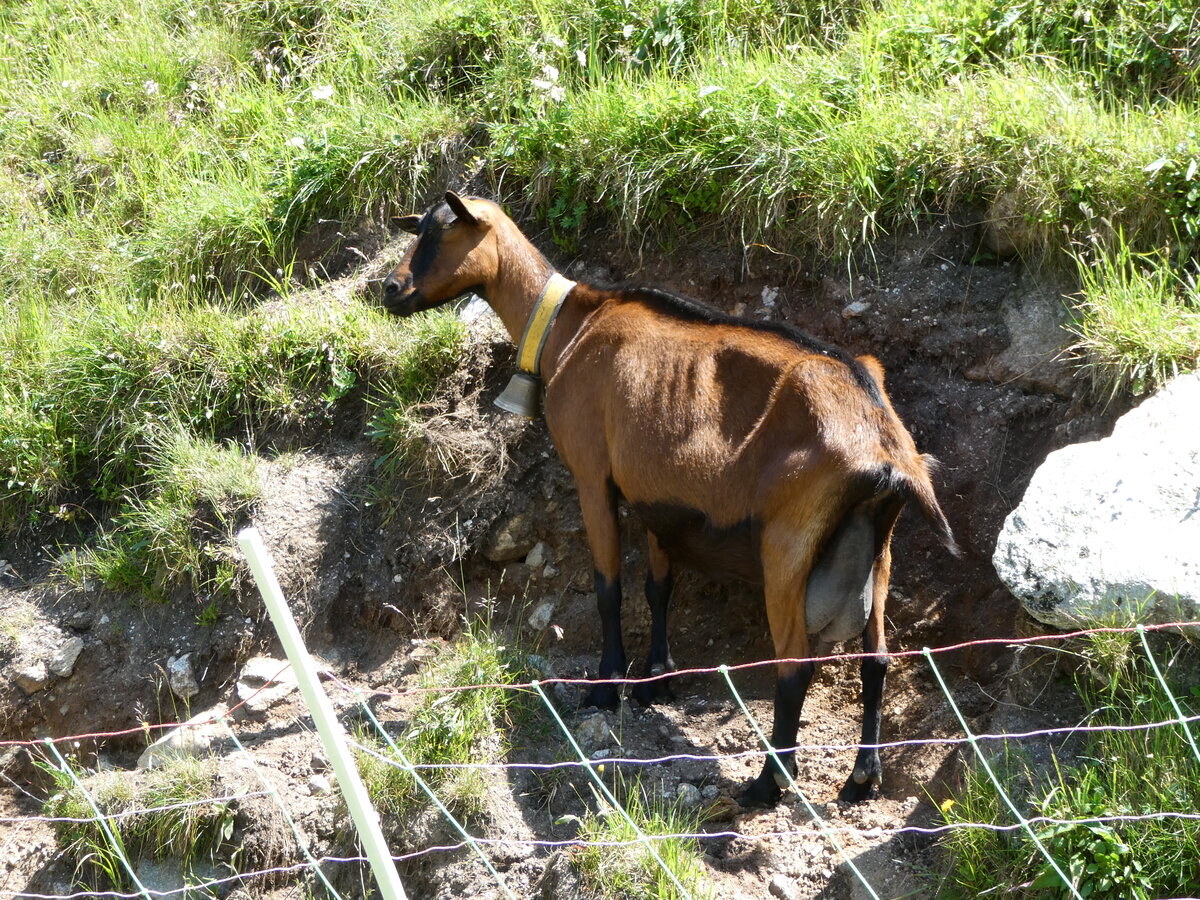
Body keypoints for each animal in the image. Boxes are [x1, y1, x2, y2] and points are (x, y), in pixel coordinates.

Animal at [382, 191, 957, 806]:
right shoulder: (657, 500)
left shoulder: (593, 474)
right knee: (877, 660)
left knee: (795, 665)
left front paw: (607, 686)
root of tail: (886, 446)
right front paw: (658, 677)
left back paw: (767, 783)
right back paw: (862, 777)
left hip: (788, 544)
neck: (571, 326)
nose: (390, 289)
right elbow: (659, 587)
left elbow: (609, 586)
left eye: (441, 231)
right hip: (878, 548)